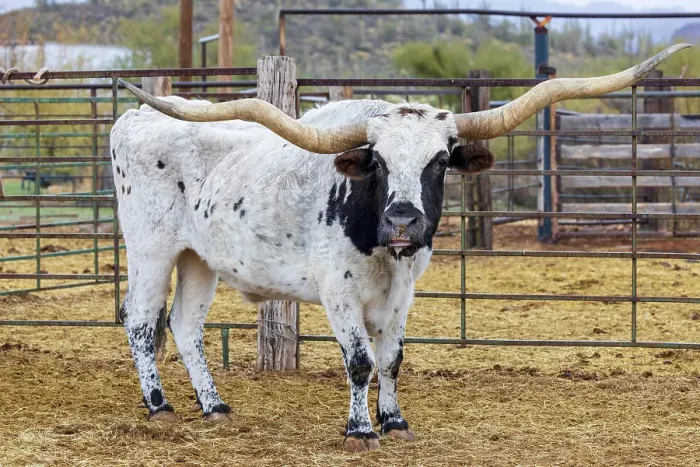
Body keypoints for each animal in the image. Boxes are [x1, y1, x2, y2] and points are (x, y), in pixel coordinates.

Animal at [112, 44, 687, 452]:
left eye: (441, 160)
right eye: (377, 160)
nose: (404, 221)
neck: (381, 249)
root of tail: (135, 118)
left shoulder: (403, 293)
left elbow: (391, 360)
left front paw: (394, 421)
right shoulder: (337, 293)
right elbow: (360, 362)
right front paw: (360, 431)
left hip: (198, 259)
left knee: (185, 325)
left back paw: (214, 407)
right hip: (150, 249)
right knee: (140, 321)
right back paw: (159, 406)